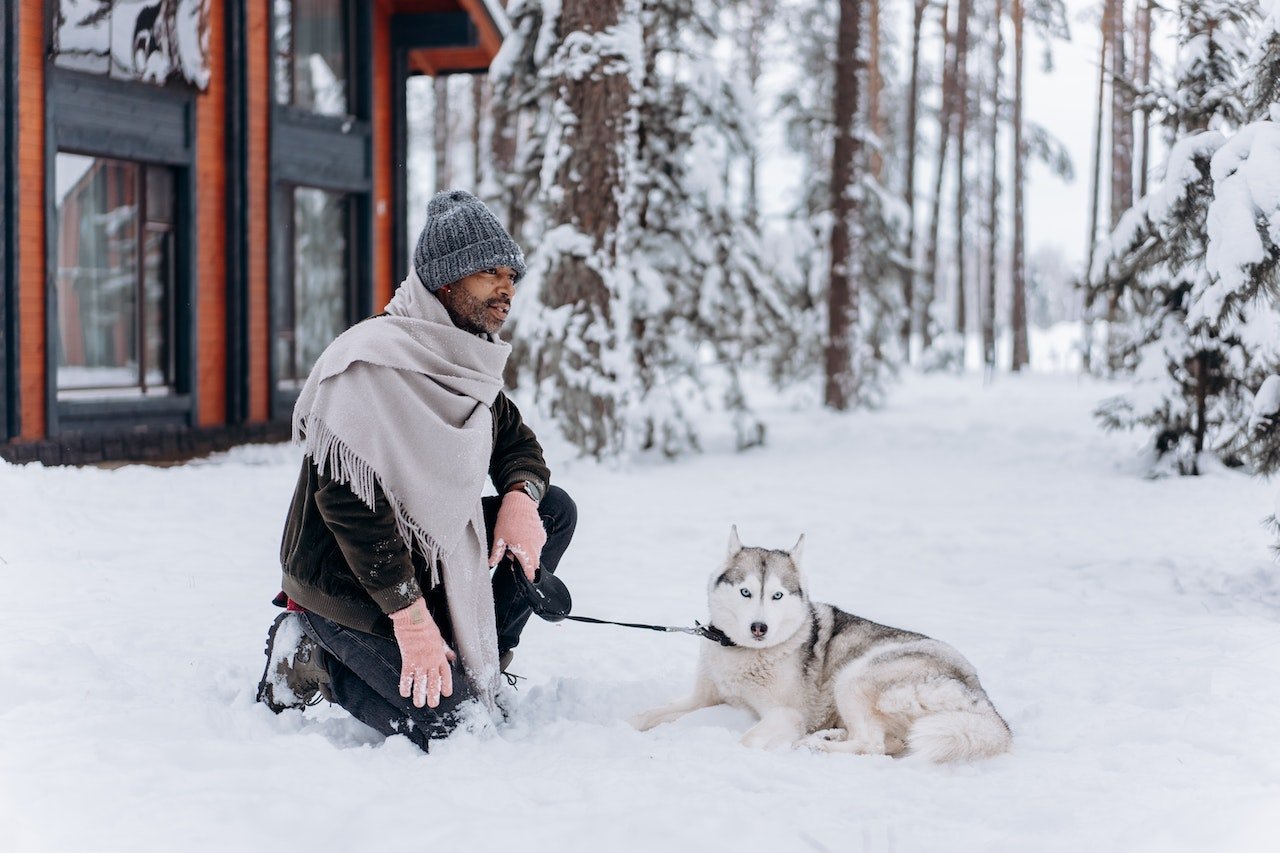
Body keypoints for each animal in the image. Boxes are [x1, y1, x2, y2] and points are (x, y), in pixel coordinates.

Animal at [629, 527, 1008, 758]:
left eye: (777, 595)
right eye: (746, 592)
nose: (759, 627)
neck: (745, 654)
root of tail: (984, 700)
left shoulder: (786, 714)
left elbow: (747, 740)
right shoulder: (702, 697)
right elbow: (647, 715)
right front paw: (625, 728)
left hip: (855, 676)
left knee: (872, 744)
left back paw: (814, 746)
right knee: (889, 742)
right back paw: (830, 736)